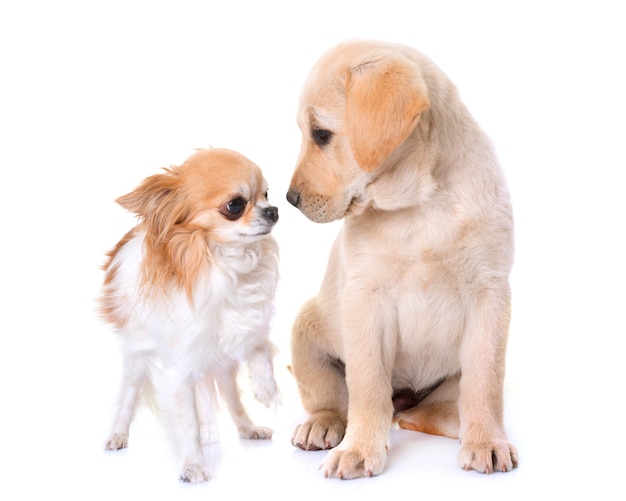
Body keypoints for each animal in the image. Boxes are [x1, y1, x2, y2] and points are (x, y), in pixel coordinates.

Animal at [286, 38, 516, 476]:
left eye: (321, 134)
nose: (290, 199)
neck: (420, 207)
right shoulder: (365, 298)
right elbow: (367, 386)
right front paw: (359, 449)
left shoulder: (490, 295)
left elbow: (485, 381)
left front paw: (487, 440)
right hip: (304, 331)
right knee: (336, 401)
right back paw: (323, 425)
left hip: (442, 388)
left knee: (424, 413)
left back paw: (455, 424)